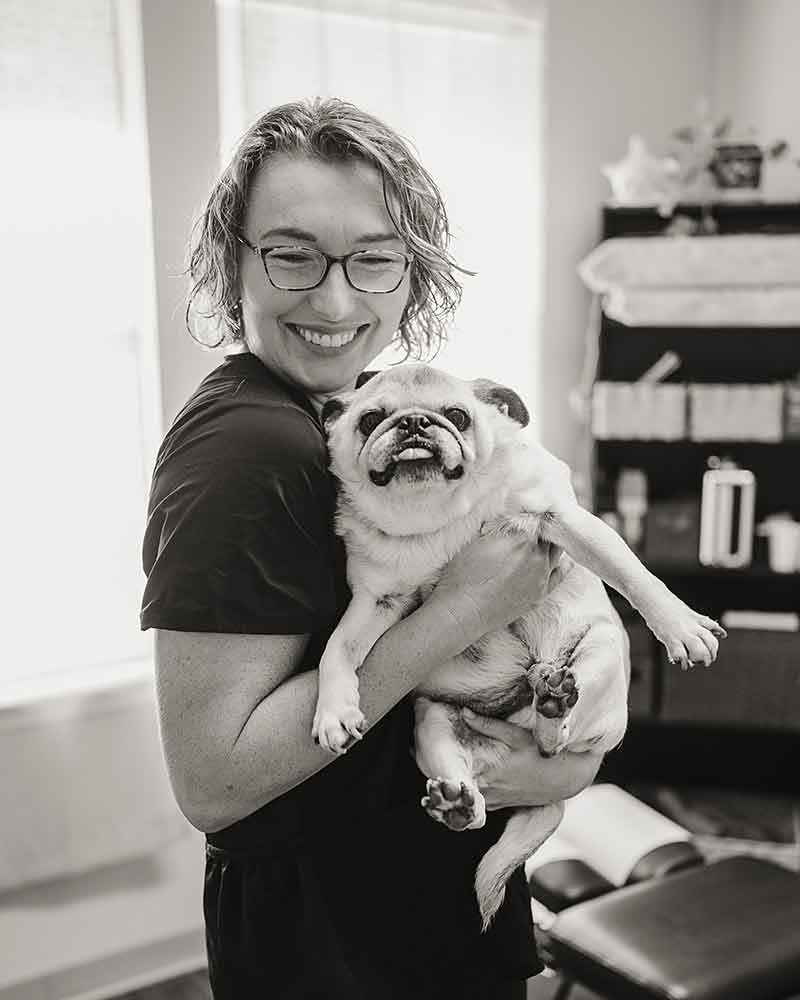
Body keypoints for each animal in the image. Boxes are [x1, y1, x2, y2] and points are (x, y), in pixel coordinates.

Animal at [310, 364, 720, 924]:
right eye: (371, 419)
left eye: (457, 415)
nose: (415, 422)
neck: (439, 517)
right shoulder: (377, 602)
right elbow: (336, 650)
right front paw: (333, 710)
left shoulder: (563, 519)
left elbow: (635, 575)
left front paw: (681, 625)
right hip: (432, 725)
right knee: (477, 790)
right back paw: (458, 803)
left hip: (601, 656)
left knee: (558, 738)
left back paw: (552, 702)